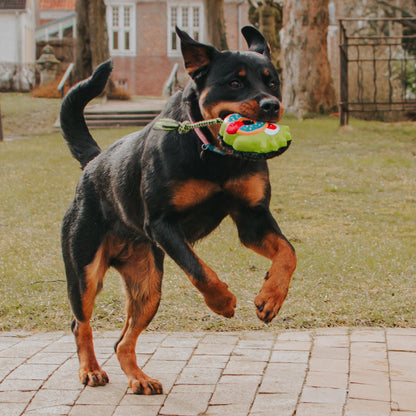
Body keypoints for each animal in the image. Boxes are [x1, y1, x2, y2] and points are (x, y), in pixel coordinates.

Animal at [61, 26, 296, 396]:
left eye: (272, 82)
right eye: (235, 82)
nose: (272, 105)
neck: (214, 155)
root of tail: (94, 163)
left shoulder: (253, 218)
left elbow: (288, 252)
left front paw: (271, 297)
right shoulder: (162, 223)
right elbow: (198, 270)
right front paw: (222, 301)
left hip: (147, 286)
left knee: (122, 341)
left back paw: (139, 378)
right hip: (84, 270)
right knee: (79, 322)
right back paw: (91, 370)